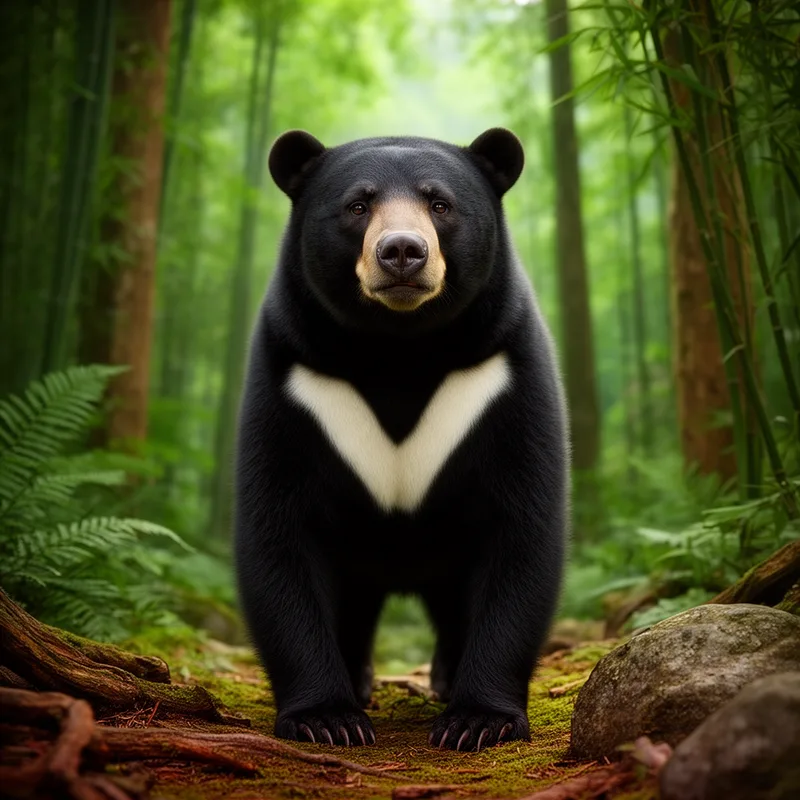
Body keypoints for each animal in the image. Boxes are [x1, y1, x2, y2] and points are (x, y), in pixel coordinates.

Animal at [234, 128, 568, 752]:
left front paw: (476, 722)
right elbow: (279, 535)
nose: (403, 252)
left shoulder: (503, 373)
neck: (398, 347)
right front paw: (328, 720)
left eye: (440, 204)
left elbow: (521, 532)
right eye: (357, 206)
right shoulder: (294, 378)